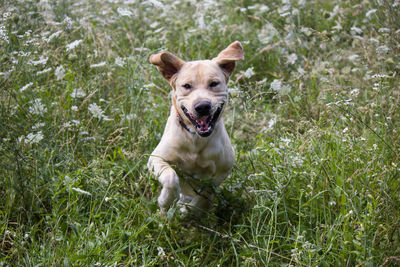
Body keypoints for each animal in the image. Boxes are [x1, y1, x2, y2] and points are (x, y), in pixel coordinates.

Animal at [146, 41, 242, 216]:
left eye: (214, 84)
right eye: (186, 86)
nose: (202, 106)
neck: (196, 140)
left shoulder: (223, 170)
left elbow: (206, 194)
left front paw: (190, 210)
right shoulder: (156, 159)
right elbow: (171, 178)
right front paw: (166, 200)